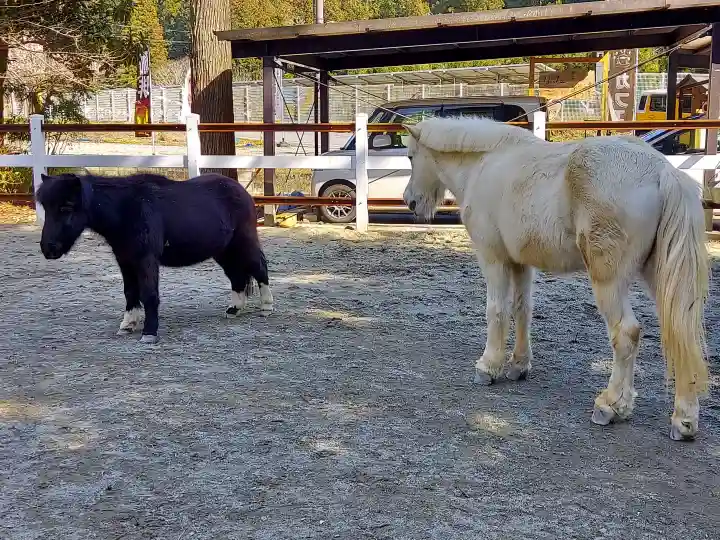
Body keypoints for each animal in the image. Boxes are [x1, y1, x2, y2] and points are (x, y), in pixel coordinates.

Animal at [37, 172, 273, 343]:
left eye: (66, 207)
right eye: (45, 208)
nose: (48, 249)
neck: (128, 209)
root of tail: (241, 190)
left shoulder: (146, 259)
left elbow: (149, 293)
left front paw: (149, 332)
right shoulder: (125, 260)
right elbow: (130, 292)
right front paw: (128, 325)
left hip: (243, 243)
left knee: (259, 268)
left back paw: (266, 307)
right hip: (222, 250)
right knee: (237, 276)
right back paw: (234, 309)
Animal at [402, 117, 709, 441]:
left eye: (410, 157)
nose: (410, 201)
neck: (487, 161)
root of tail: (662, 171)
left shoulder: (493, 259)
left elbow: (496, 311)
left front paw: (488, 367)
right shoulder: (520, 264)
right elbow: (522, 310)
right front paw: (518, 366)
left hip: (610, 281)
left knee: (627, 333)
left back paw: (610, 406)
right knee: (682, 332)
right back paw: (684, 420)